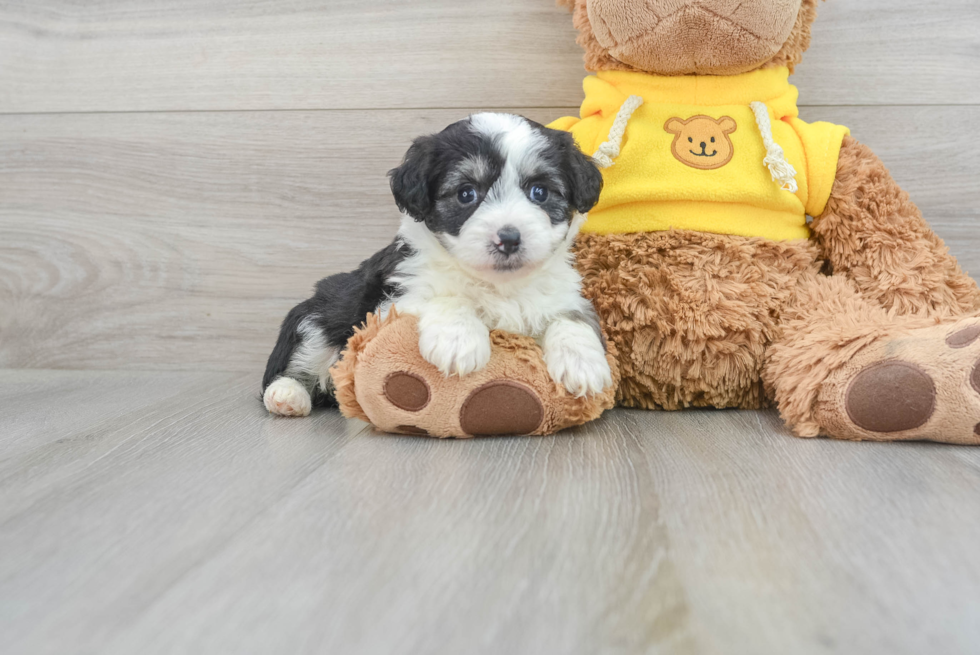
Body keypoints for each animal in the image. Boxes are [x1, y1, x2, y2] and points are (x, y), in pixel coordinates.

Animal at [264, 113, 608, 418]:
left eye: (540, 192)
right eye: (466, 193)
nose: (509, 239)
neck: (499, 285)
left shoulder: (564, 295)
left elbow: (571, 318)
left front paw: (583, 363)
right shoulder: (392, 300)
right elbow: (445, 296)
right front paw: (457, 341)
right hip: (316, 317)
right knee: (296, 362)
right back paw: (286, 395)